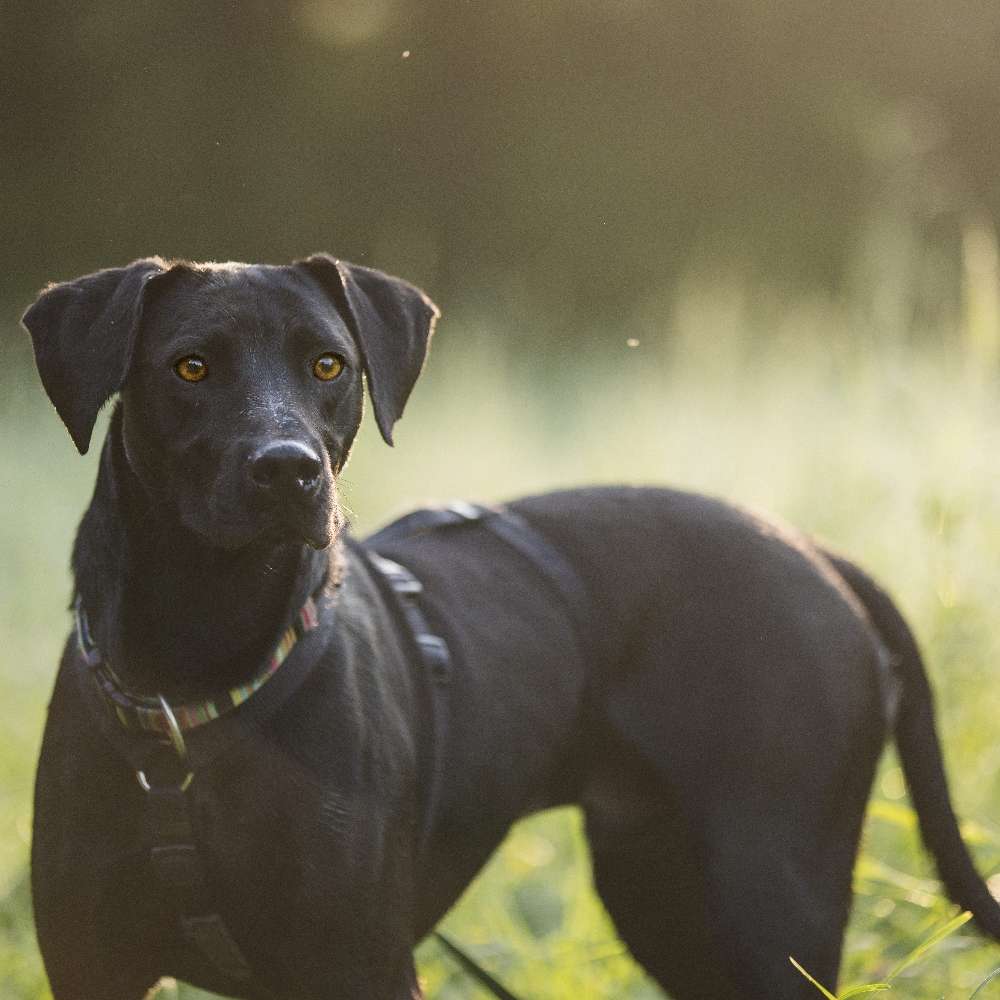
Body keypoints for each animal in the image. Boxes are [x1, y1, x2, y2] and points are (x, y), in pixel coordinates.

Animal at [23, 258, 1000, 1000]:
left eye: (329, 366)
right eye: (189, 367)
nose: (288, 470)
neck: (195, 661)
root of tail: (817, 552)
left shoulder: (361, 965)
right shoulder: (90, 960)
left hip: (774, 904)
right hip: (665, 894)